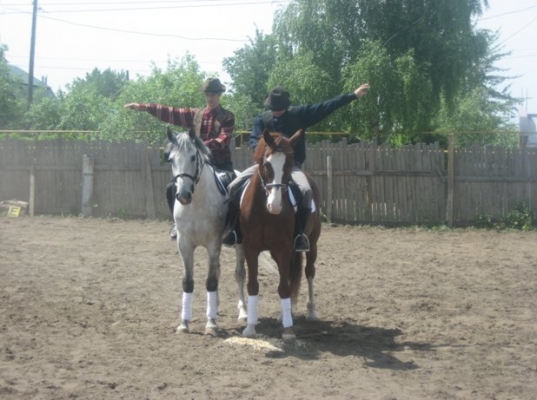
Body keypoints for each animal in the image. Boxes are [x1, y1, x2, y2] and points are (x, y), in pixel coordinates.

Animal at [165, 127, 247, 335]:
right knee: (218, 270)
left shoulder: (213, 244)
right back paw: (215, 306)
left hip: (239, 244)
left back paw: (243, 311)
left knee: (239, 273)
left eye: (194, 157)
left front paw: (211, 324)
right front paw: (184, 323)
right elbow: (188, 282)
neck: (196, 203)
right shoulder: (184, 245)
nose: (183, 195)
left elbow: (211, 281)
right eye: (171, 159)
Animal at [239, 129, 321, 343]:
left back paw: (310, 312)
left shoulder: (283, 249)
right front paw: (250, 327)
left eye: (289, 163)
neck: (264, 212)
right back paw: (285, 314)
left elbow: (284, 287)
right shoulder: (251, 248)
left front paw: (288, 330)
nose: (275, 206)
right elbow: (253, 285)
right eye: (266, 164)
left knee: (308, 272)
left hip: (312, 243)